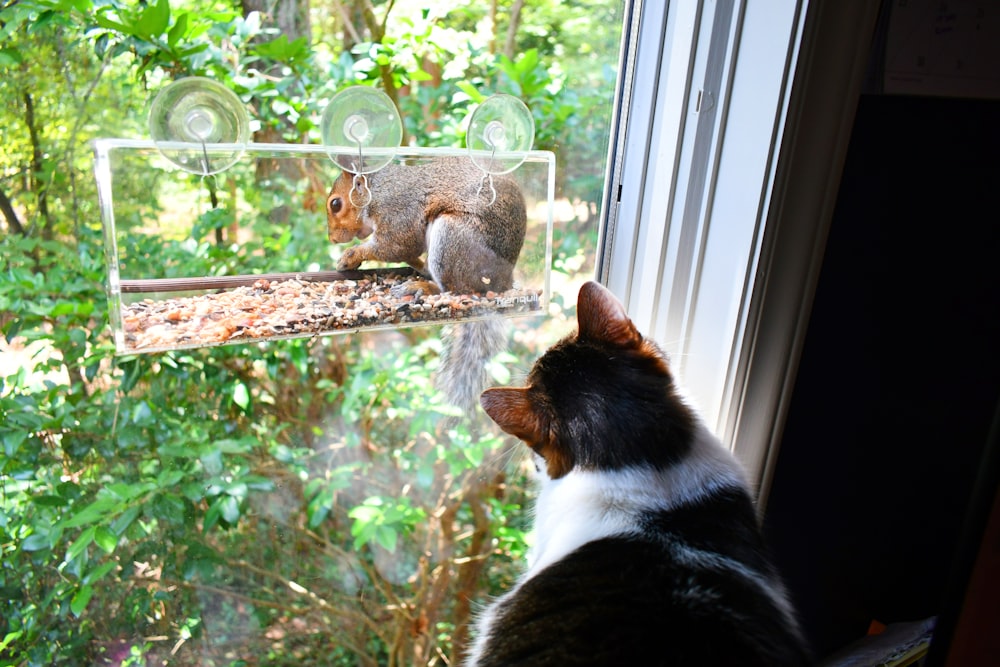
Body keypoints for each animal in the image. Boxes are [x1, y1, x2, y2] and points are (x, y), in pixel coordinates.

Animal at [328, 159, 532, 414]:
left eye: (335, 204)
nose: (332, 239)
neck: (376, 190)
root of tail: (504, 282)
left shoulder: (398, 211)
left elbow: (396, 245)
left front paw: (352, 255)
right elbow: (407, 252)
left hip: (452, 239)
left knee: (456, 291)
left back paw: (423, 288)